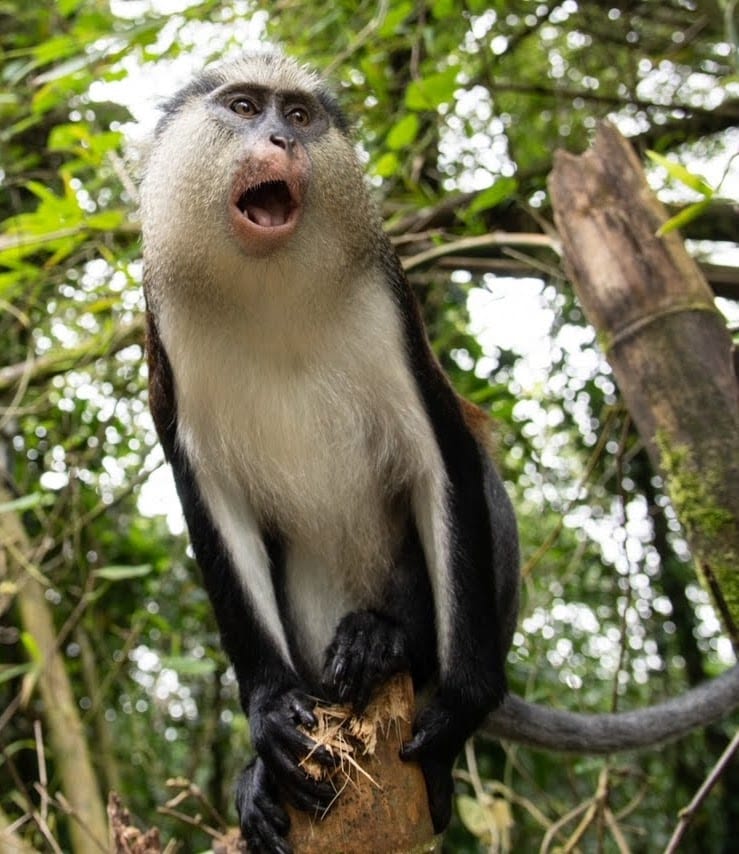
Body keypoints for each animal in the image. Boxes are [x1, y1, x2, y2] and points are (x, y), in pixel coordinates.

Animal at [140, 49, 520, 852]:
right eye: (245, 107)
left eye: (300, 115)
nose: (282, 140)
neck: (269, 285)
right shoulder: (168, 347)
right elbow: (213, 502)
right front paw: (268, 712)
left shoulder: (388, 304)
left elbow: (442, 455)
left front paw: (456, 712)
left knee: (477, 481)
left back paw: (390, 643)